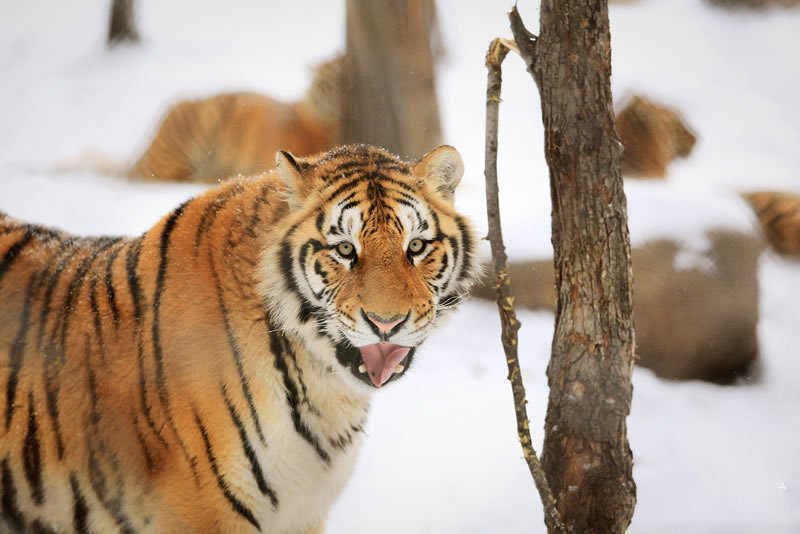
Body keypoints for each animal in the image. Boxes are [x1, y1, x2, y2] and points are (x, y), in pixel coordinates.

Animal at [0, 144, 478, 532]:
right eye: (345, 250)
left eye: (416, 247)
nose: (386, 323)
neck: (323, 388)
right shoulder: (201, 512)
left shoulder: (304, 513)